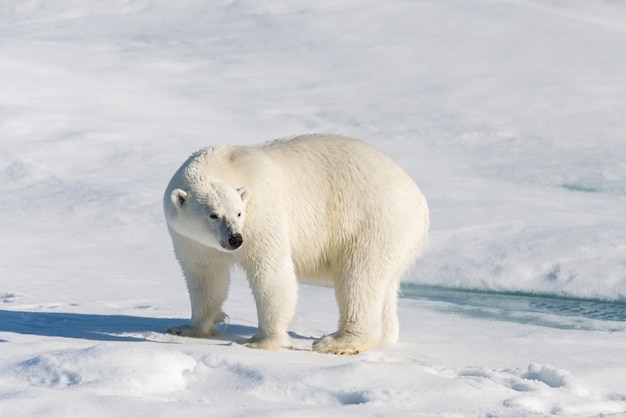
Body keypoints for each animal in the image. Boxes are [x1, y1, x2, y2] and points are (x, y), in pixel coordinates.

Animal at [163, 133, 426, 352]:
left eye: (238, 212)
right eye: (213, 215)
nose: (235, 239)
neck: (225, 163)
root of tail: (419, 199)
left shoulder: (262, 213)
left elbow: (271, 270)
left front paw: (260, 341)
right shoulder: (190, 239)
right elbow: (205, 277)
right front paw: (187, 329)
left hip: (372, 222)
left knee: (359, 277)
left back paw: (336, 342)